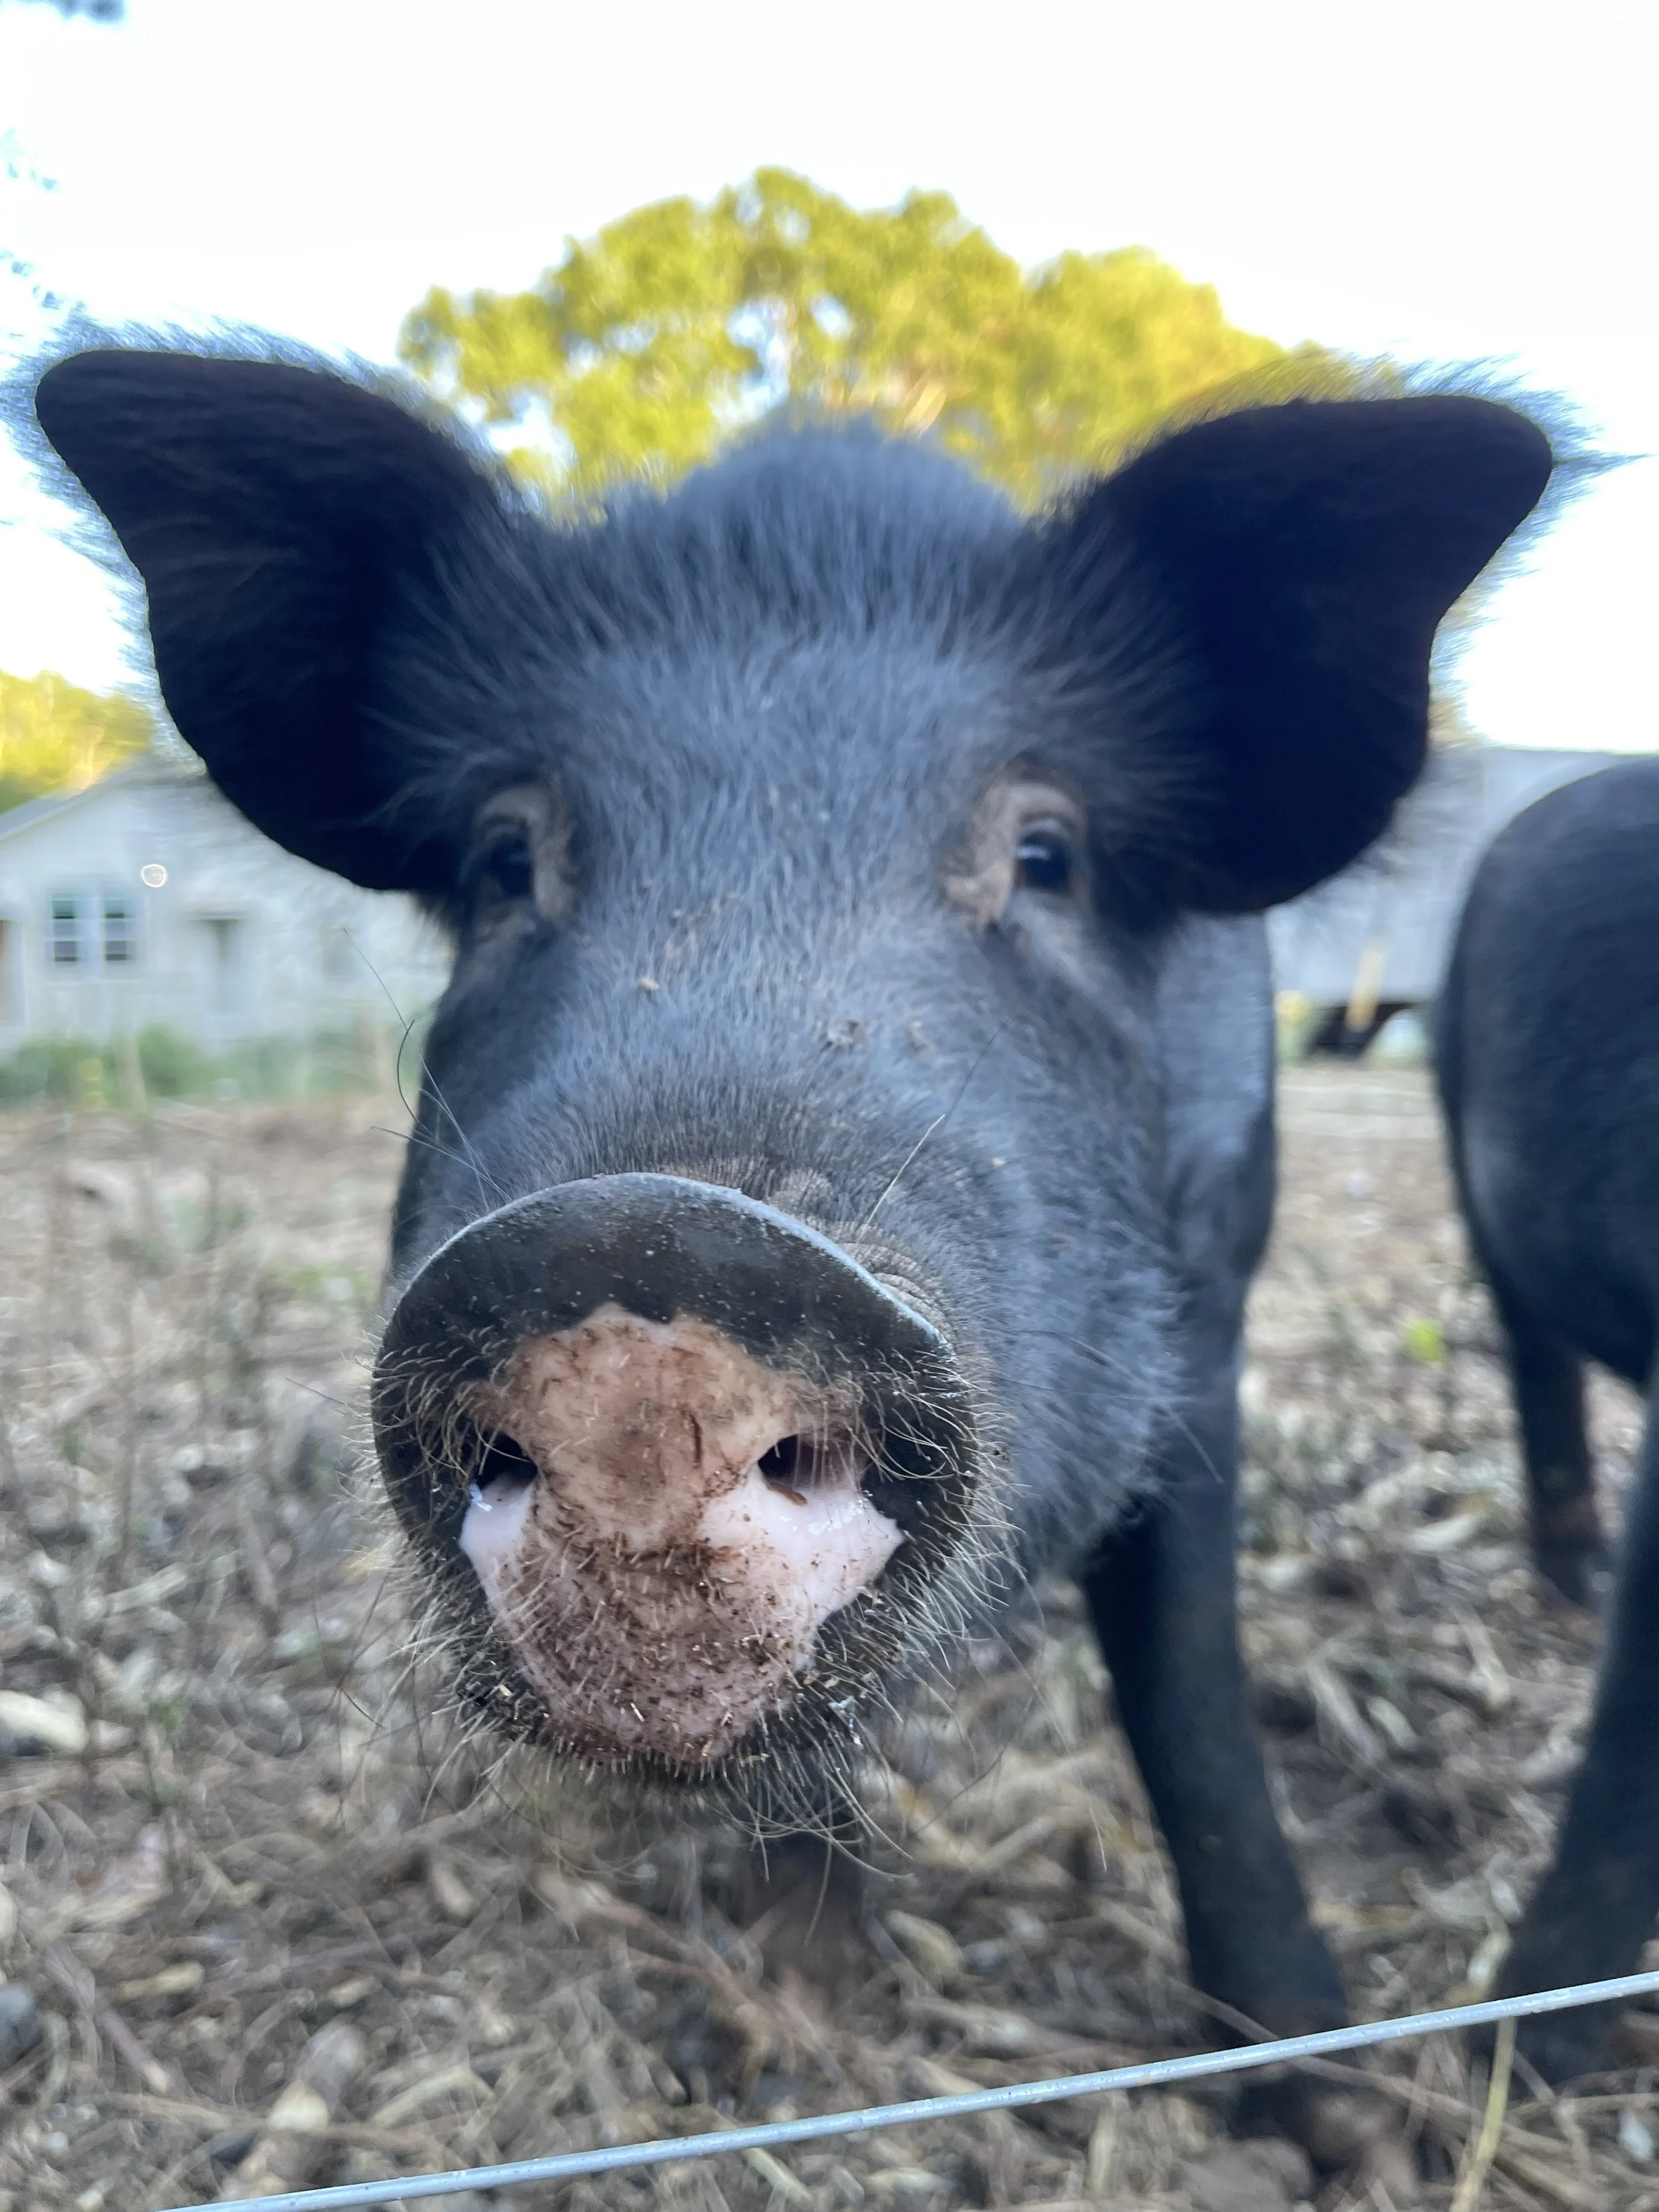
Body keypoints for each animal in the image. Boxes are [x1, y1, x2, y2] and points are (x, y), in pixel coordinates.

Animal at [30, 339, 1547, 2160]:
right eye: (501, 858)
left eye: (1047, 852)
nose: (652, 1238)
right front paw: (793, 2015)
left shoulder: (1211, 1328)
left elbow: (1189, 1699)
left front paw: (1337, 2124)